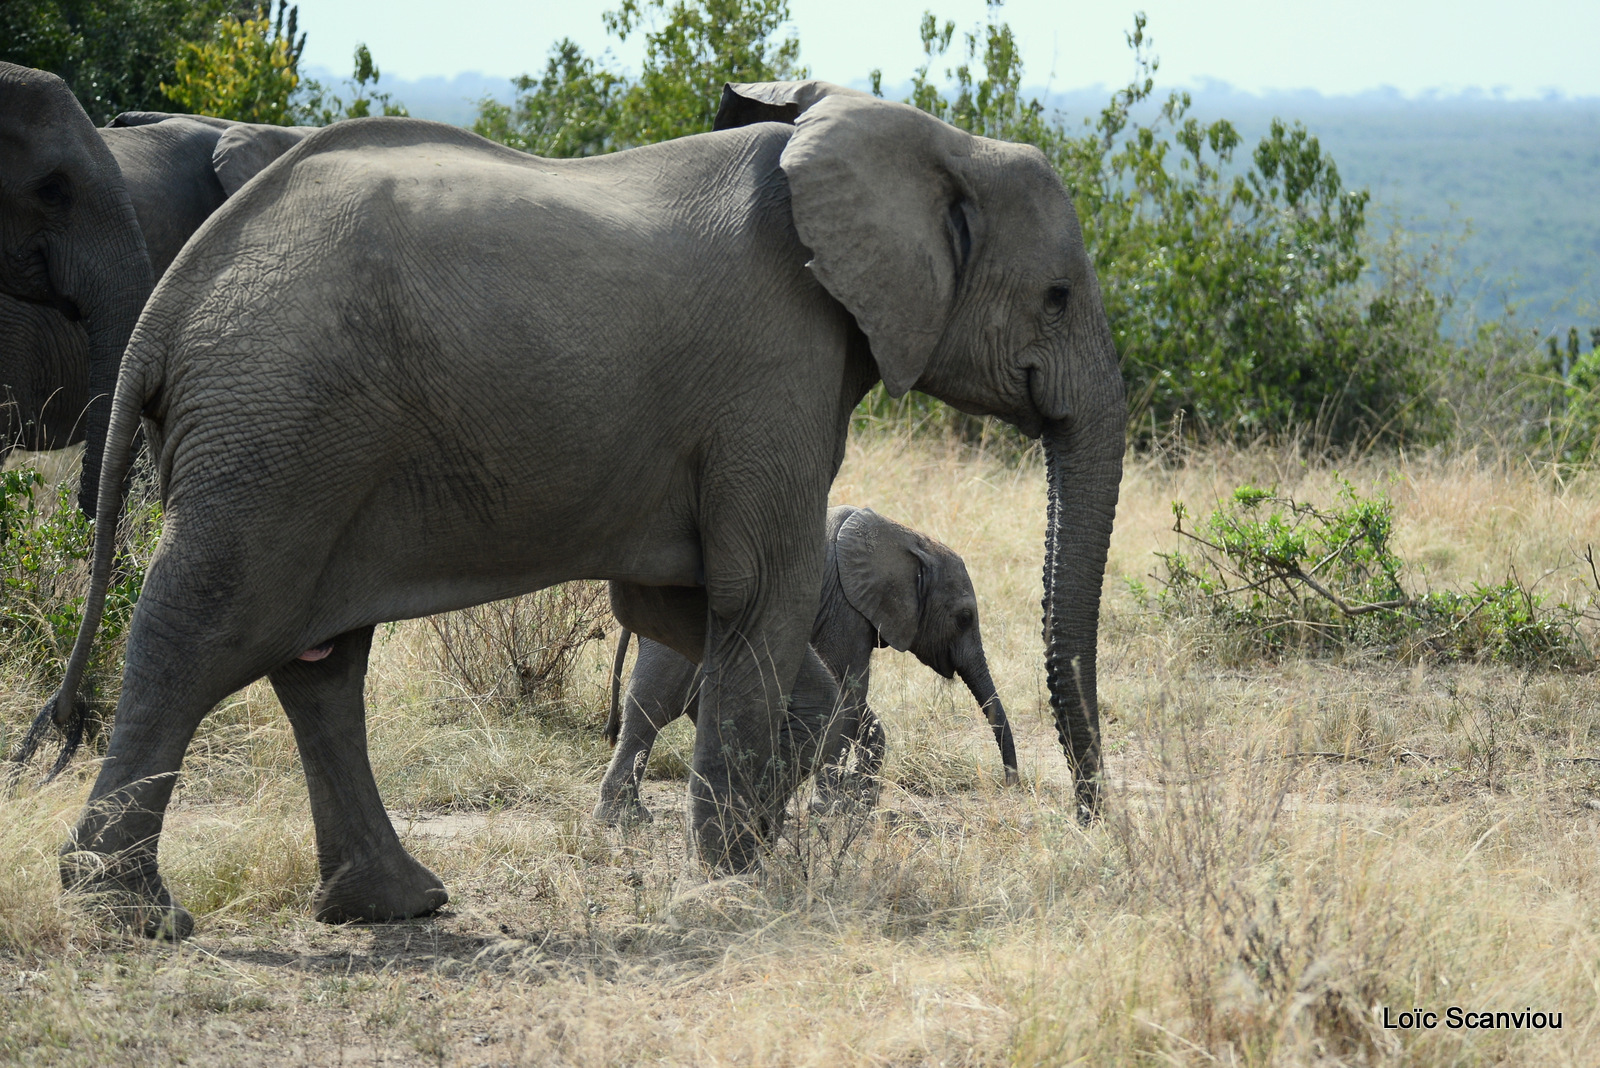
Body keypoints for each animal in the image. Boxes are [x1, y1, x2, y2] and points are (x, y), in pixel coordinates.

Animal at [595, 502, 1017, 824]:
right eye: (964, 618)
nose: (1012, 785)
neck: (909, 539)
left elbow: (854, 701)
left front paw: (859, 802)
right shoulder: (845, 607)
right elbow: (848, 691)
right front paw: (834, 807)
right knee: (654, 703)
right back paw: (624, 819)